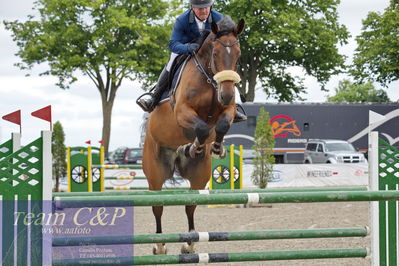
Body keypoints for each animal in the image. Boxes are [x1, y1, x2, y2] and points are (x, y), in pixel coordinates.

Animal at [142, 15, 245, 256]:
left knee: (190, 204)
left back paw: (189, 244)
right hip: (155, 174)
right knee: (158, 206)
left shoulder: (227, 110)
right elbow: (202, 128)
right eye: (215, 53)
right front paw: (193, 146)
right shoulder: (182, 111)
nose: (227, 94)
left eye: (238, 54)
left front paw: (214, 147)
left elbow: (221, 125)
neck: (209, 79)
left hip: (199, 175)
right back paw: (159, 245)